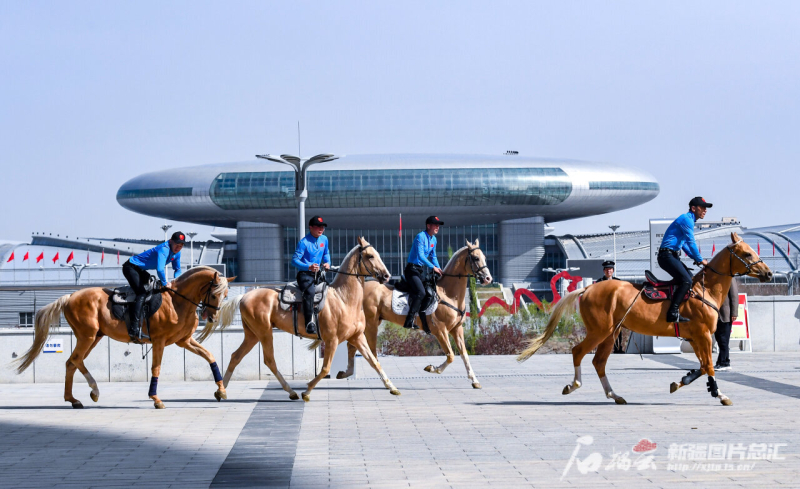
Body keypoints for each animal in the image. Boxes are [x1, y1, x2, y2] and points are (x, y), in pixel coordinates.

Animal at [14, 266, 233, 408]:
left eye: (225, 295)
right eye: (214, 294)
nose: (212, 317)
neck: (177, 301)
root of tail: (69, 297)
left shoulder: (184, 341)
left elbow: (210, 356)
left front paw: (221, 390)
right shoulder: (160, 341)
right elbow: (156, 368)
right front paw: (156, 399)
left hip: (94, 337)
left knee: (72, 362)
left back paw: (75, 399)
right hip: (87, 336)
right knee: (75, 360)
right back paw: (93, 391)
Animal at [200, 236, 400, 400]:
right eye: (370, 256)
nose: (387, 275)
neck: (344, 299)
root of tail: (244, 296)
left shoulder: (357, 337)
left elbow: (374, 361)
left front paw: (392, 387)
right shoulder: (332, 340)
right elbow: (325, 368)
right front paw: (308, 390)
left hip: (252, 335)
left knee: (236, 356)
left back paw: (221, 391)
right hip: (264, 332)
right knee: (269, 360)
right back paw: (291, 392)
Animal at [332, 238, 490, 386]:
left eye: (484, 257)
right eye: (475, 258)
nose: (488, 278)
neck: (448, 294)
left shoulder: (457, 329)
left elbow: (464, 354)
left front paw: (474, 380)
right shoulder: (440, 330)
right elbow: (451, 355)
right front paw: (432, 368)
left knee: (352, 347)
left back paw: (345, 373)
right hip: (370, 326)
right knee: (368, 351)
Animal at [516, 233, 772, 404]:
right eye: (747, 253)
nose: (769, 273)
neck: (704, 290)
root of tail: (588, 289)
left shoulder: (696, 338)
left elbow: (701, 366)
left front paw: (680, 382)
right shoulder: (704, 336)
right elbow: (708, 365)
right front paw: (720, 394)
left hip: (611, 334)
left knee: (599, 362)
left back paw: (614, 394)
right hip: (600, 331)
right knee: (578, 352)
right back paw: (574, 385)